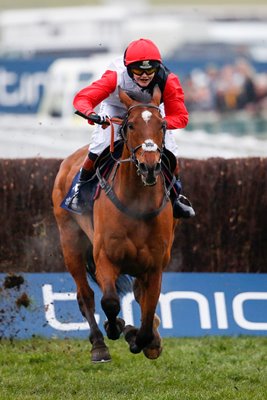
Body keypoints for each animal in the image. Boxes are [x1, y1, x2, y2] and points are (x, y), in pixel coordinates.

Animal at [51, 86, 178, 362]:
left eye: (163, 125)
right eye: (130, 125)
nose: (149, 166)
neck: (137, 205)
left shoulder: (155, 265)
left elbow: (148, 310)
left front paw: (144, 339)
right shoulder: (106, 257)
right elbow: (109, 301)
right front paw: (115, 327)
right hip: (70, 241)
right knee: (85, 295)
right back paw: (99, 344)